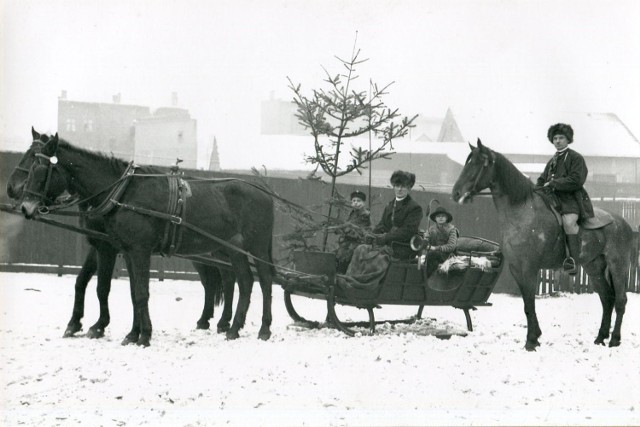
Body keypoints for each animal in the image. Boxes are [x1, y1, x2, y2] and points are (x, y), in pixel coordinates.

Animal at [17, 134, 276, 348]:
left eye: (40, 169)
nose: (25, 207)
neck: (124, 193)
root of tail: (264, 192)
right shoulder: (127, 251)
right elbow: (133, 292)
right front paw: (132, 334)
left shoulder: (135, 250)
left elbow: (139, 292)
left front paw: (144, 335)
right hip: (234, 250)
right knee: (244, 282)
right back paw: (233, 328)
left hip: (256, 247)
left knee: (264, 281)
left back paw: (264, 328)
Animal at [450, 140, 636, 352]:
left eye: (478, 164)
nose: (456, 193)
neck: (522, 213)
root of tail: (623, 223)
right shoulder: (516, 269)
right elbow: (526, 304)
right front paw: (535, 337)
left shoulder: (530, 268)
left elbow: (530, 303)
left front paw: (531, 341)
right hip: (594, 267)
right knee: (607, 298)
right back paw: (600, 338)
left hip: (618, 266)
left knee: (620, 300)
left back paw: (614, 340)